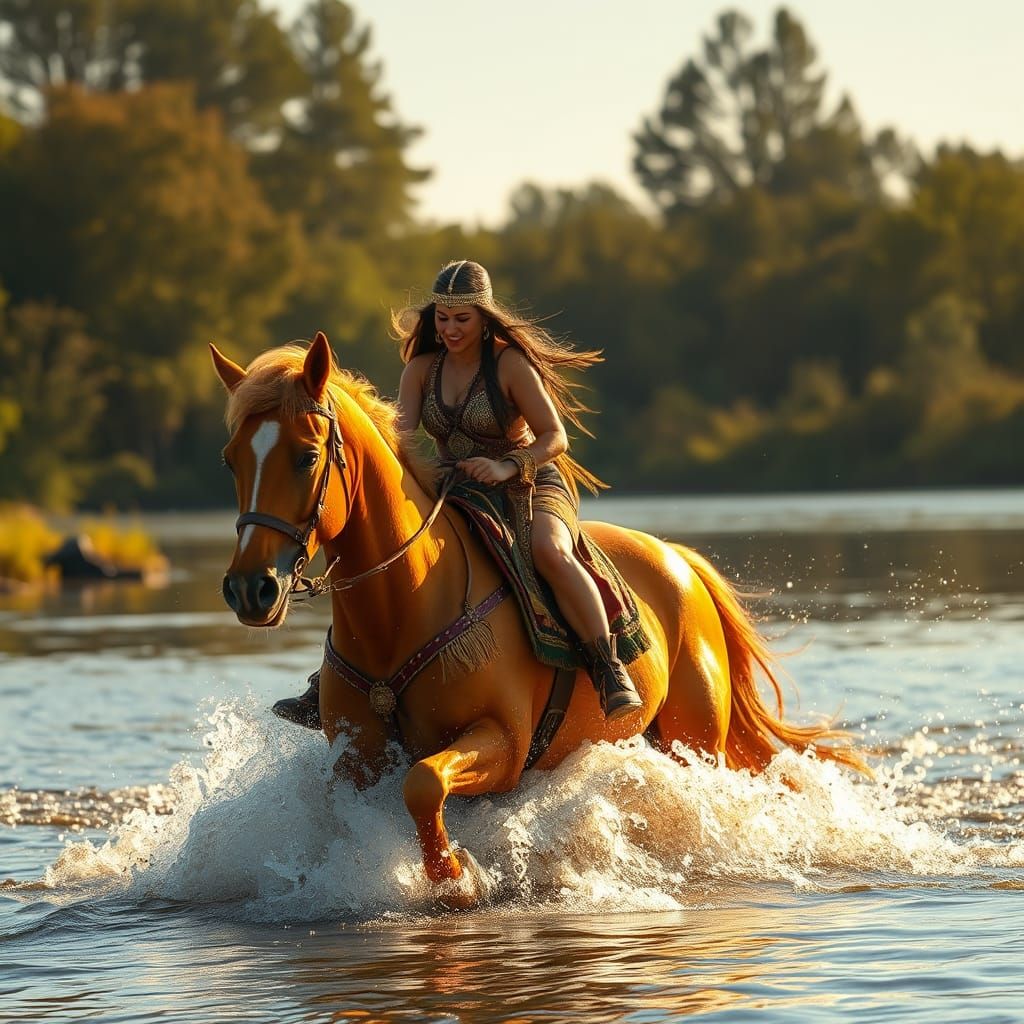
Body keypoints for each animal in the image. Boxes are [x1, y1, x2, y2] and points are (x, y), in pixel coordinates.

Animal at [211, 332, 866, 907]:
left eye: (306, 456)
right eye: (231, 460)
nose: (251, 589)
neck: (401, 608)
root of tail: (682, 561)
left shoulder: (502, 743)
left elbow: (423, 784)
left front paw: (457, 878)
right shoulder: (356, 761)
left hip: (695, 739)